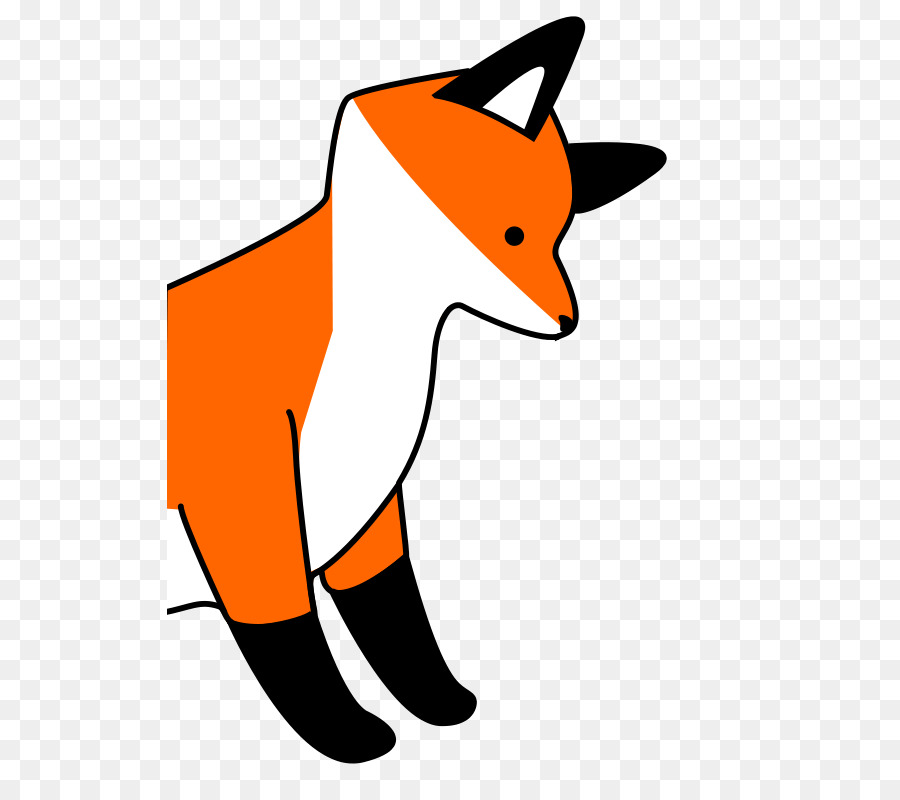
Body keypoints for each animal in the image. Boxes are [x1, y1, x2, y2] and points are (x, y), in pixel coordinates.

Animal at [166, 17, 666, 762]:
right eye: (514, 233)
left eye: (558, 237)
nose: (568, 321)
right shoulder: (247, 507)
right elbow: (289, 639)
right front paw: (343, 735)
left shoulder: (367, 506)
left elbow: (394, 618)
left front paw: (440, 703)